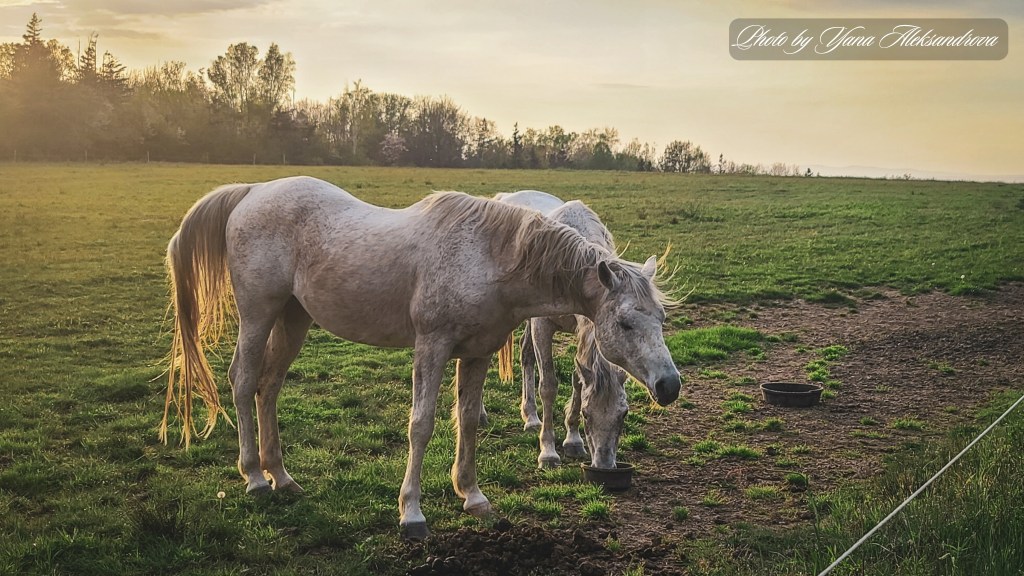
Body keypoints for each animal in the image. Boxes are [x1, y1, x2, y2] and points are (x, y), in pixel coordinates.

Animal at [492, 190, 629, 470]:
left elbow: (577, 380)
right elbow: (549, 385)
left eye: (623, 415)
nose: (603, 465)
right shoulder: (543, 325)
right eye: (588, 414)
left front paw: (573, 440)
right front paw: (548, 452)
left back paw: (531, 416)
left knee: (526, 353)